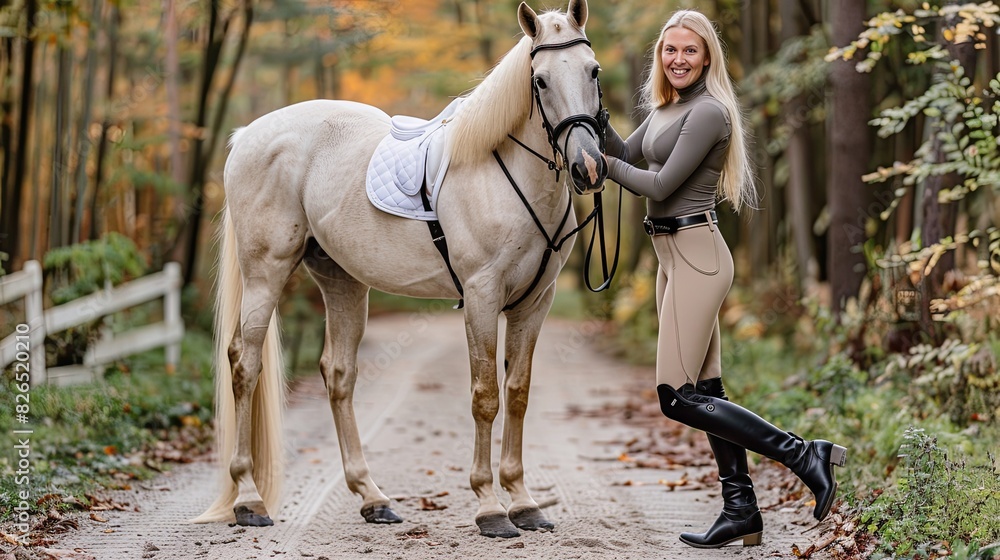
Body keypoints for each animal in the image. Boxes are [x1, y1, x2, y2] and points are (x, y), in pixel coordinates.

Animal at [193, 0, 607, 539]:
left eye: (593, 71)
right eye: (539, 80)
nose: (589, 167)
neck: (503, 171)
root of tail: (248, 137)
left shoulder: (535, 302)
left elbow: (517, 394)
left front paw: (523, 501)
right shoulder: (482, 297)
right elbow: (485, 396)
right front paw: (490, 507)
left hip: (342, 283)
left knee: (338, 374)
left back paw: (372, 497)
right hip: (266, 273)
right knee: (245, 364)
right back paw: (247, 499)